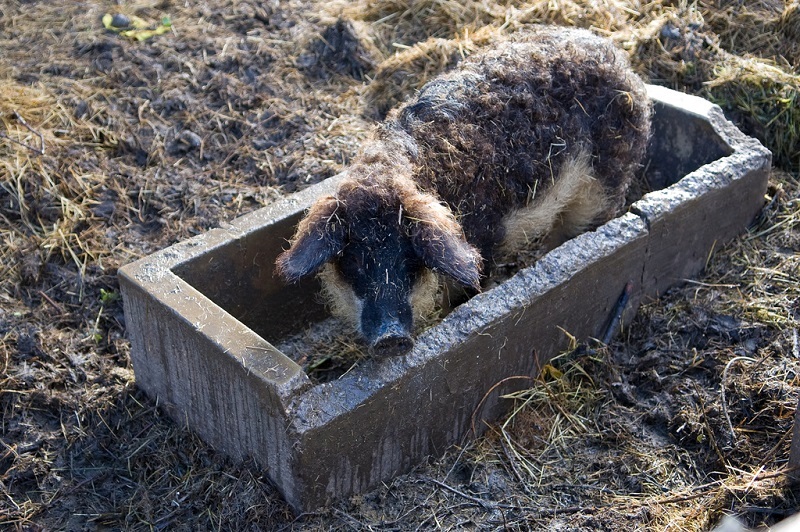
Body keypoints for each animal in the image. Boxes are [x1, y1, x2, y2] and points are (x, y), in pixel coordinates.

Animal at [276, 25, 648, 358]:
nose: (391, 338)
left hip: (604, 184)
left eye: (410, 260)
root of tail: (619, 59)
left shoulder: (484, 243)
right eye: (354, 261)